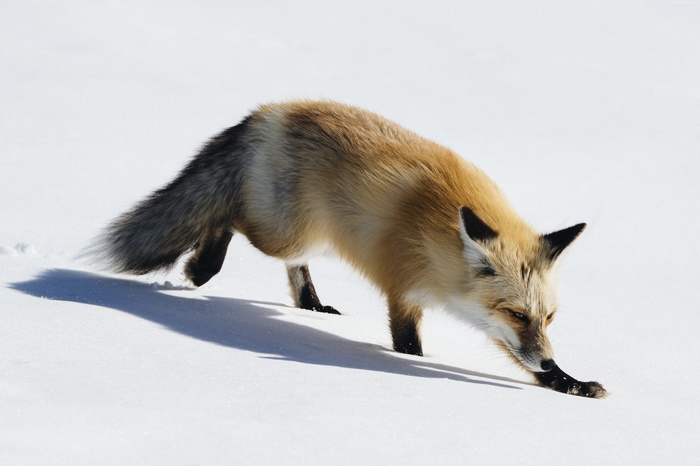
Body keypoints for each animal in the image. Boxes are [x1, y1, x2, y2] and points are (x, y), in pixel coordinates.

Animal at [91, 100, 606, 398]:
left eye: (548, 317)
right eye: (518, 313)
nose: (547, 357)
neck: (439, 234)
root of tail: (269, 110)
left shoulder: (486, 319)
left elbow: (525, 362)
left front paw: (569, 382)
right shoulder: (404, 292)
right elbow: (410, 348)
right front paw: (410, 369)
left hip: (313, 238)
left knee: (291, 265)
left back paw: (310, 304)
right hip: (285, 232)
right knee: (227, 216)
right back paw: (201, 267)